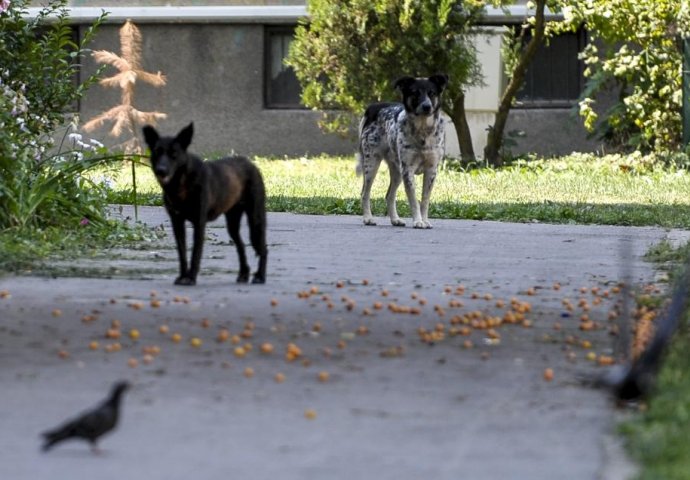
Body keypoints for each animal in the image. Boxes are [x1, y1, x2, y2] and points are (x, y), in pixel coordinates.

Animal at [142, 123, 266, 284]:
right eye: (157, 152)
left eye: (174, 154)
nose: (161, 171)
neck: (181, 183)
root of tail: (251, 164)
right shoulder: (177, 223)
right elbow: (182, 253)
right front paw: (183, 276)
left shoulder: (199, 223)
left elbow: (196, 252)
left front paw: (191, 278)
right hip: (232, 223)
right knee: (241, 245)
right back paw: (244, 274)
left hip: (255, 219)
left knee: (263, 248)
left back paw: (260, 276)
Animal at [354, 74, 446, 230]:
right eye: (415, 93)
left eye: (432, 93)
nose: (427, 106)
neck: (422, 130)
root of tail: (374, 107)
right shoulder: (408, 170)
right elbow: (414, 200)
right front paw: (418, 221)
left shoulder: (431, 170)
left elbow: (424, 200)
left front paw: (425, 220)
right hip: (371, 163)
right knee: (364, 193)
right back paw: (368, 218)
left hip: (397, 170)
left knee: (389, 195)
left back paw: (395, 220)